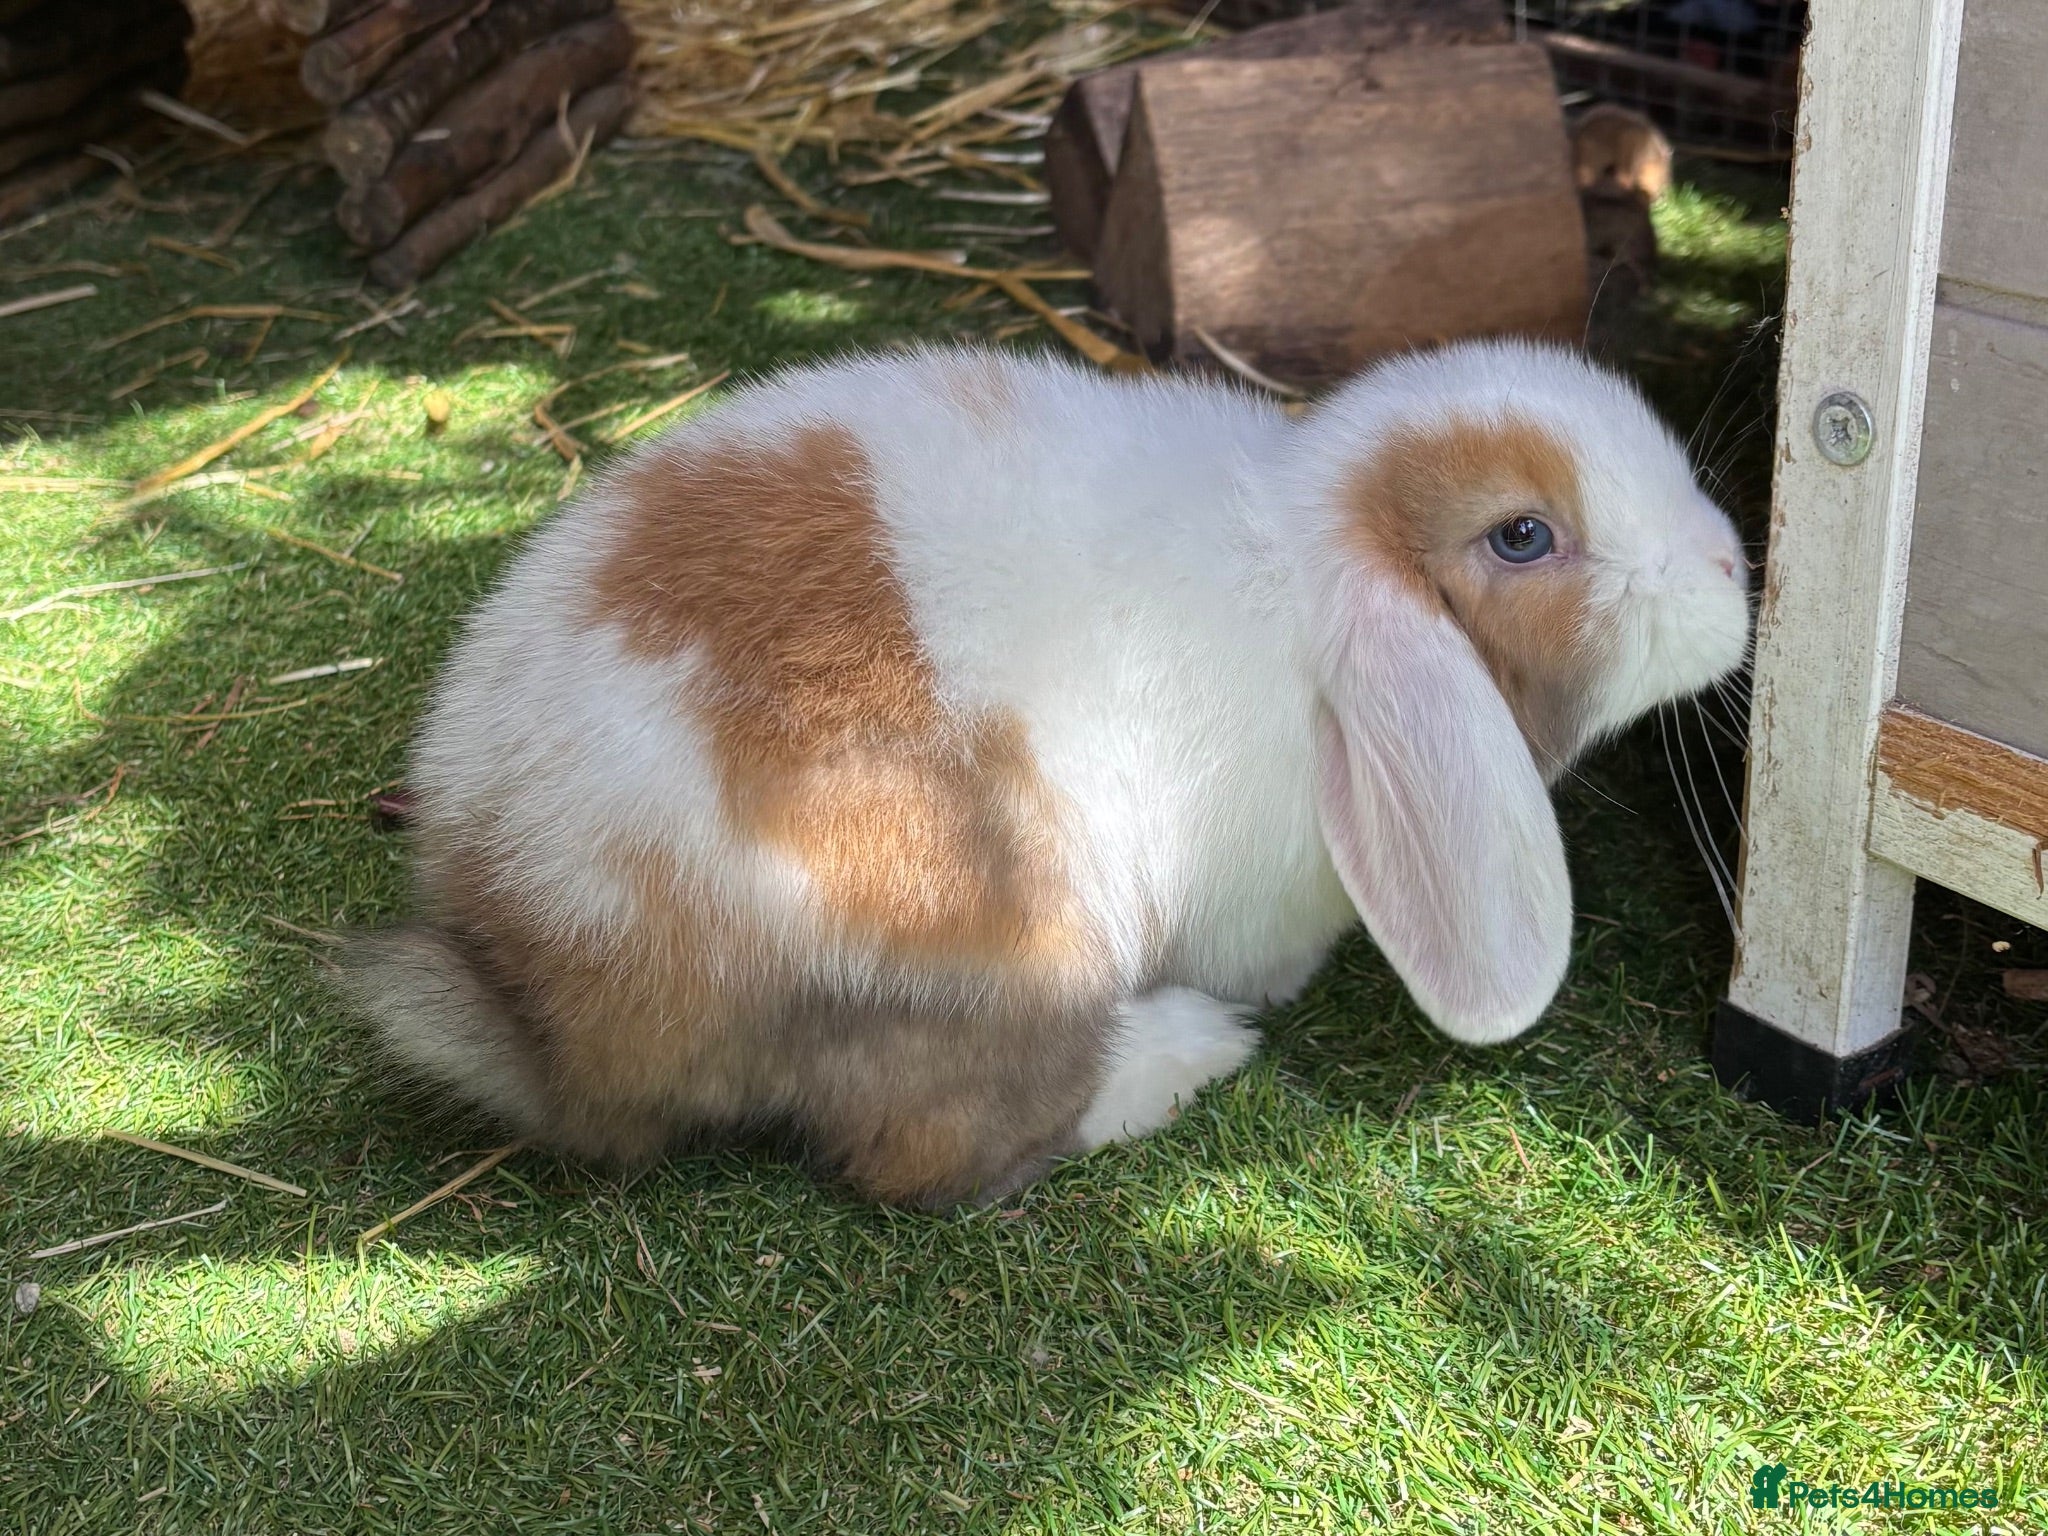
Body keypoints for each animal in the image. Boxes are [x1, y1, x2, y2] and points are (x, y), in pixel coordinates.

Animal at [337, 339, 1750, 1209]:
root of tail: (544, 978)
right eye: (1522, 537)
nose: (1732, 568)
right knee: (930, 1153)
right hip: (1006, 943)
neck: (1301, 559)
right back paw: (1187, 1052)